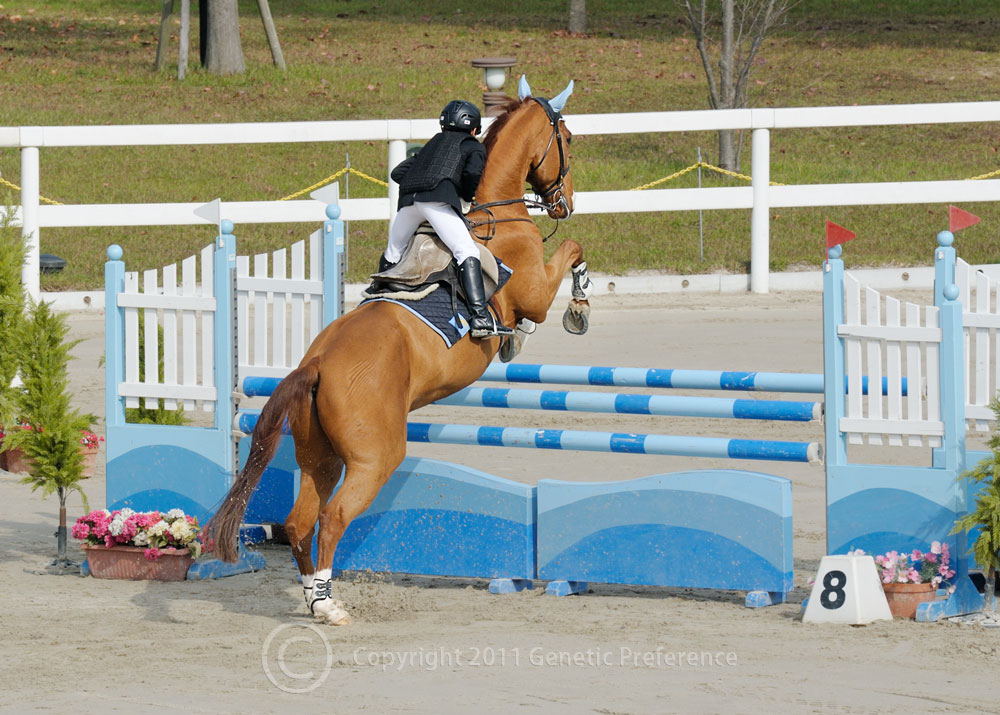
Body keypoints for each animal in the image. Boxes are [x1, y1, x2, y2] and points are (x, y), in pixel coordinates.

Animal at [207, 77, 588, 628]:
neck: (498, 213)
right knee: (333, 516)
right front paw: (577, 307)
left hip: (319, 456)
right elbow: (572, 254)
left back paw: (312, 597)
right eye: (569, 141)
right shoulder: (534, 291)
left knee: (301, 521)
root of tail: (316, 364)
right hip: (375, 457)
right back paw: (330, 605)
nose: (566, 204)